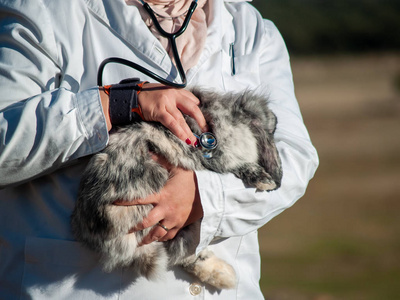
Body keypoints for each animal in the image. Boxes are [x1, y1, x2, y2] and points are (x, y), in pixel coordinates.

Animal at [70, 87, 282, 290]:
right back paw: (226, 276)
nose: (274, 121)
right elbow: (239, 166)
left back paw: (224, 276)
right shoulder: (220, 160)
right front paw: (264, 179)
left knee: (186, 254)